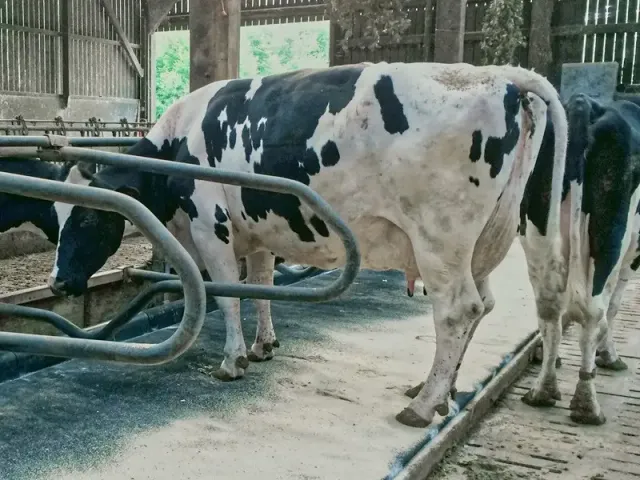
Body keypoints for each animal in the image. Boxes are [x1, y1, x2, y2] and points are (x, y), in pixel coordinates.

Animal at [45, 62, 568, 428]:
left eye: (89, 216)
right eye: (57, 215)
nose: (60, 282)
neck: (180, 143)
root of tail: (498, 76)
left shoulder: (211, 226)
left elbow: (227, 295)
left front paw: (232, 361)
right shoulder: (257, 230)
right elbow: (259, 285)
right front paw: (264, 345)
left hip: (440, 238)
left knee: (458, 310)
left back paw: (422, 406)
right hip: (485, 242)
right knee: (483, 306)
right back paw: (439, 393)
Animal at [518, 93, 640, 425]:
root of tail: (585, 104)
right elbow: (614, 306)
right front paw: (609, 355)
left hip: (537, 228)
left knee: (548, 309)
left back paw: (543, 389)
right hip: (609, 239)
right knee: (594, 313)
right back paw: (587, 404)